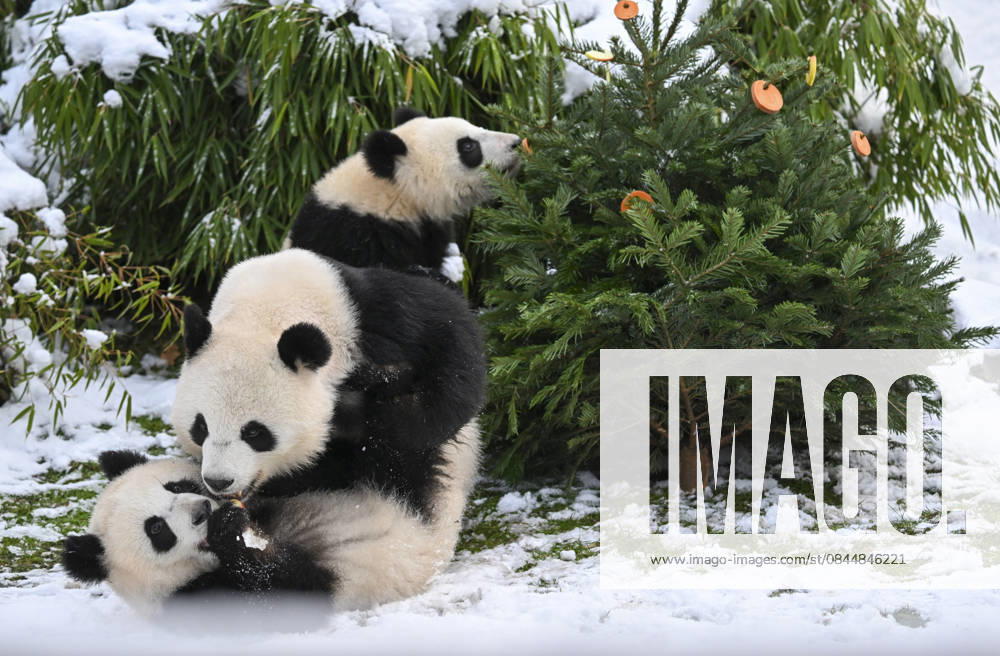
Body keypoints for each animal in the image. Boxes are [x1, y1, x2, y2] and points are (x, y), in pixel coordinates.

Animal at [62, 433, 479, 616]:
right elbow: (293, 591)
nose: (202, 510)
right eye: (157, 530)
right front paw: (230, 535)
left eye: (176, 486)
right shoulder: (196, 598)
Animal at [170, 248, 485, 525]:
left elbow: (454, 363)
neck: (263, 315)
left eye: (255, 433)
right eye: (201, 427)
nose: (218, 480)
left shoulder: (374, 314)